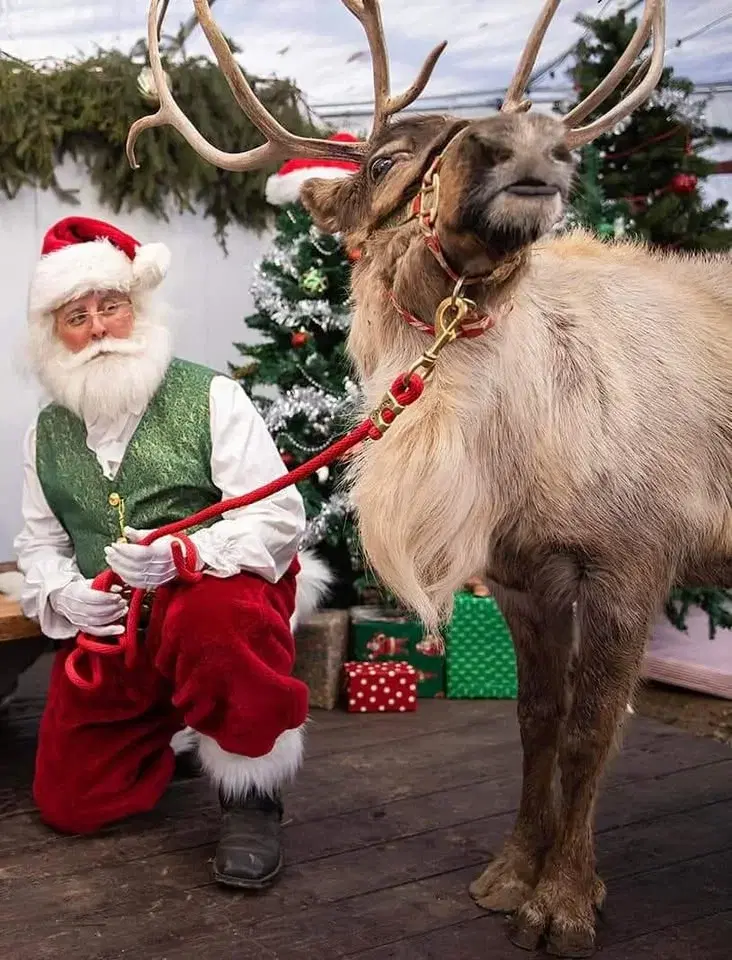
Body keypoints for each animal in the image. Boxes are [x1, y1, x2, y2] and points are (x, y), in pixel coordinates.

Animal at [127, 1, 732, 956]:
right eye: (380, 161)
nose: (526, 140)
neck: (516, 455)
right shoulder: (525, 575)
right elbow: (538, 720)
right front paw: (513, 874)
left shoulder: (635, 560)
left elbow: (592, 731)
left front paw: (565, 901)